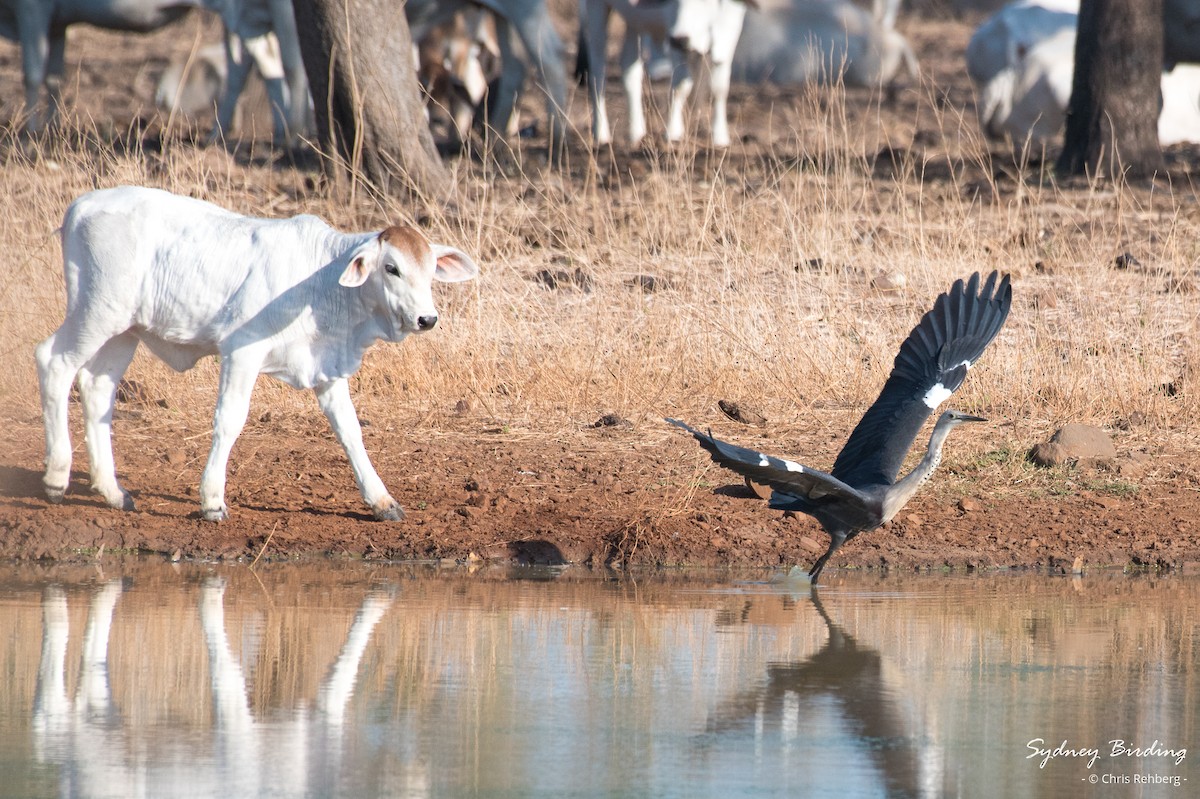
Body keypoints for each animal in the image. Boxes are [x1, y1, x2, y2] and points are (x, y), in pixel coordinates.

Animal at [37, 187, 477, 523]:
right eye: (391, 268)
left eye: (431, 270)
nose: (426, 318)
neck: (322, 282)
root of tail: (82, 204)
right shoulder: (241, 351)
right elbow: (229, 421)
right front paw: (213, 500)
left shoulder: (328, 369)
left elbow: (350, 431)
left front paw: (381, 501)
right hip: (96, 312)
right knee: (53, 362)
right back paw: (57, 477)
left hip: (124, 330)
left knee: (97, 389)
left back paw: (112, 490)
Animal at [578, 0, 748, 147]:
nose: (680, 39)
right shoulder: (675, 36)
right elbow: (681, 85)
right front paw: (673, 133)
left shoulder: (729, 35)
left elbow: (719, 88)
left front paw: (720, 137)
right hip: (596, 8)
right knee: (597, 69)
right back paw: (601, 134)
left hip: (634, 21)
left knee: (629, 68)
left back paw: (637, 134)